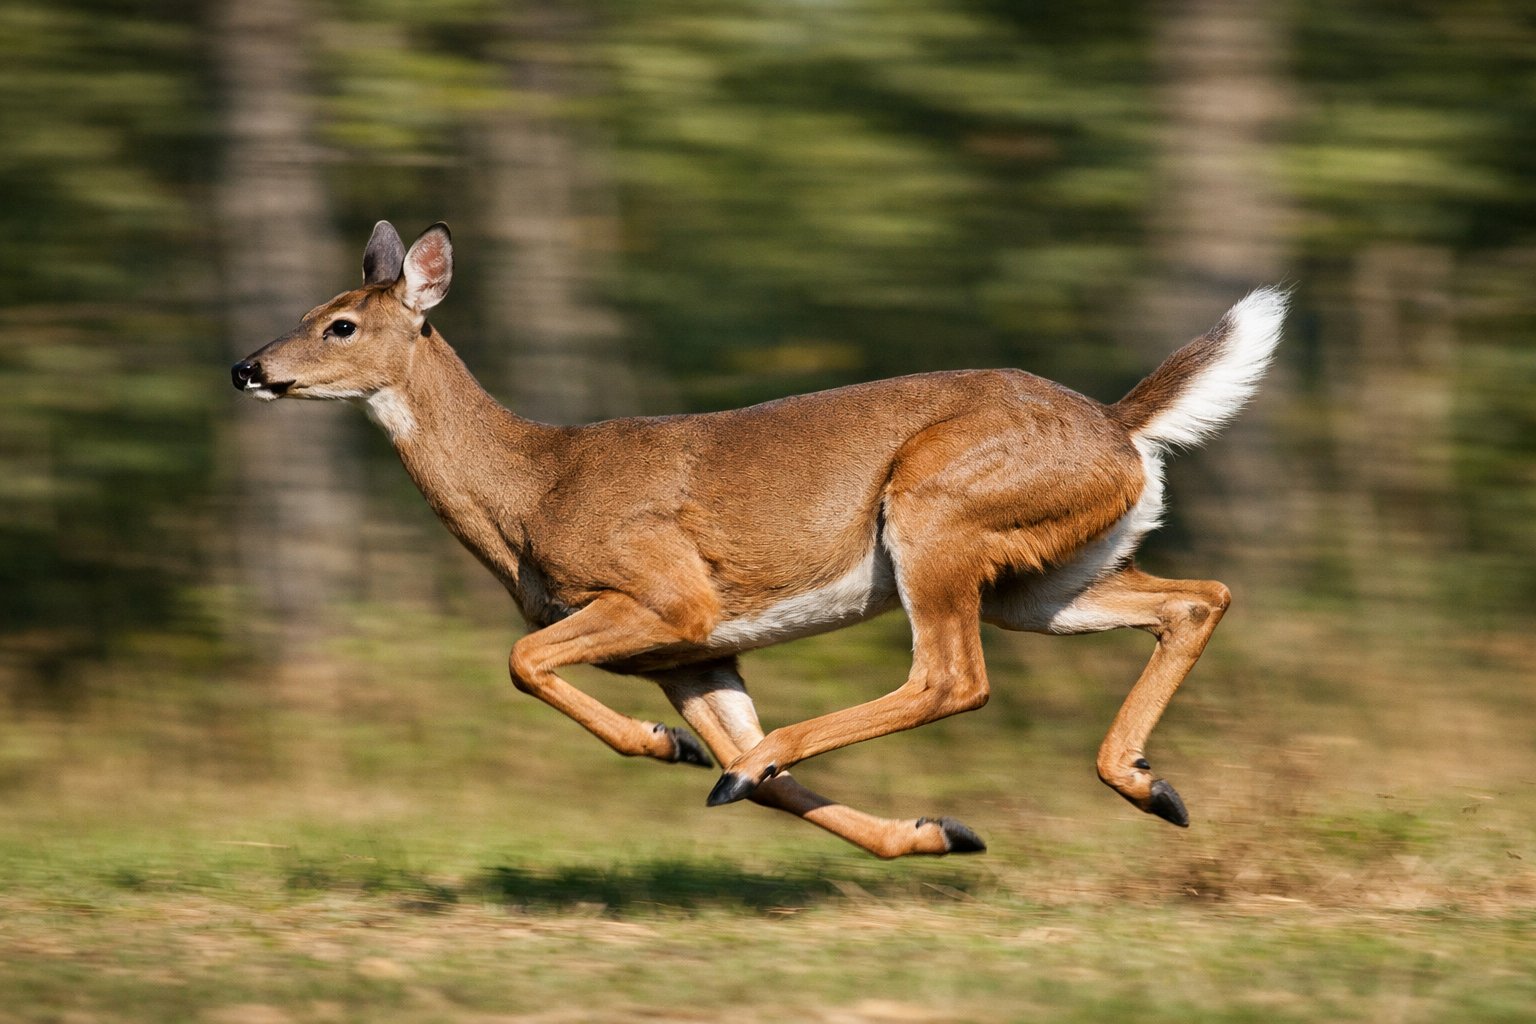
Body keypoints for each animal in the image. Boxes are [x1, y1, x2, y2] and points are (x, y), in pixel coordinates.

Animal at [231, 220, 1286, 858]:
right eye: (304, 313)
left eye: (339, 324)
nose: (247, 367)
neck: (533, 489)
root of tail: (1118, 424)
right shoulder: (690, 654)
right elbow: (777, 791)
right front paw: (933, 833)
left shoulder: (670, 597)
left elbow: (524, 660)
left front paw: (669, 749)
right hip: (1047, 581)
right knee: (1199, 597)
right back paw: (1149, 787)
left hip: (936, 513)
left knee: (951, 675)